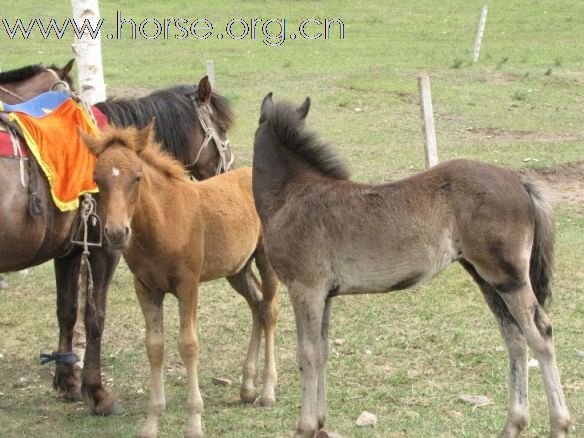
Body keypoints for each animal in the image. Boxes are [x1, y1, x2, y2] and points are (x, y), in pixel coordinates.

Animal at [0, 68, 233, 414]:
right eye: (221, 127)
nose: (230, 169)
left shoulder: (68, 251)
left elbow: (67, 311)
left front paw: (67, 382)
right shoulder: (105, 250)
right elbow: (94, 317)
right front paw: (97, 393)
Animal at [82, 124, 280, 438]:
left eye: (137, 177)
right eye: (97, 179)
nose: (116, 233)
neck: (163, 222)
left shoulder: (188, 285)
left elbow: (188, 345)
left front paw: (194, 423)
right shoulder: (146, 289)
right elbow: (154, 347)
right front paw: (151, 422)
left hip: (265, 258)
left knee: (270, 310)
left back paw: (268, 391)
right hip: (237, 269)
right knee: (257, 306)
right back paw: (248, 387)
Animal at [252, 96, 572, 438]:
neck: (291, 195)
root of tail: (519, 180)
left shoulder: (305, 289)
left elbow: (308, 354)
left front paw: (306, 425)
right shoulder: (325, 295)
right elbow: (322, 351)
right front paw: (321, 423)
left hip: (509, 277)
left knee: (540, 334)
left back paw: (559, 424)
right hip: (487, 279)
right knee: (514, 338)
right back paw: (513, 424)